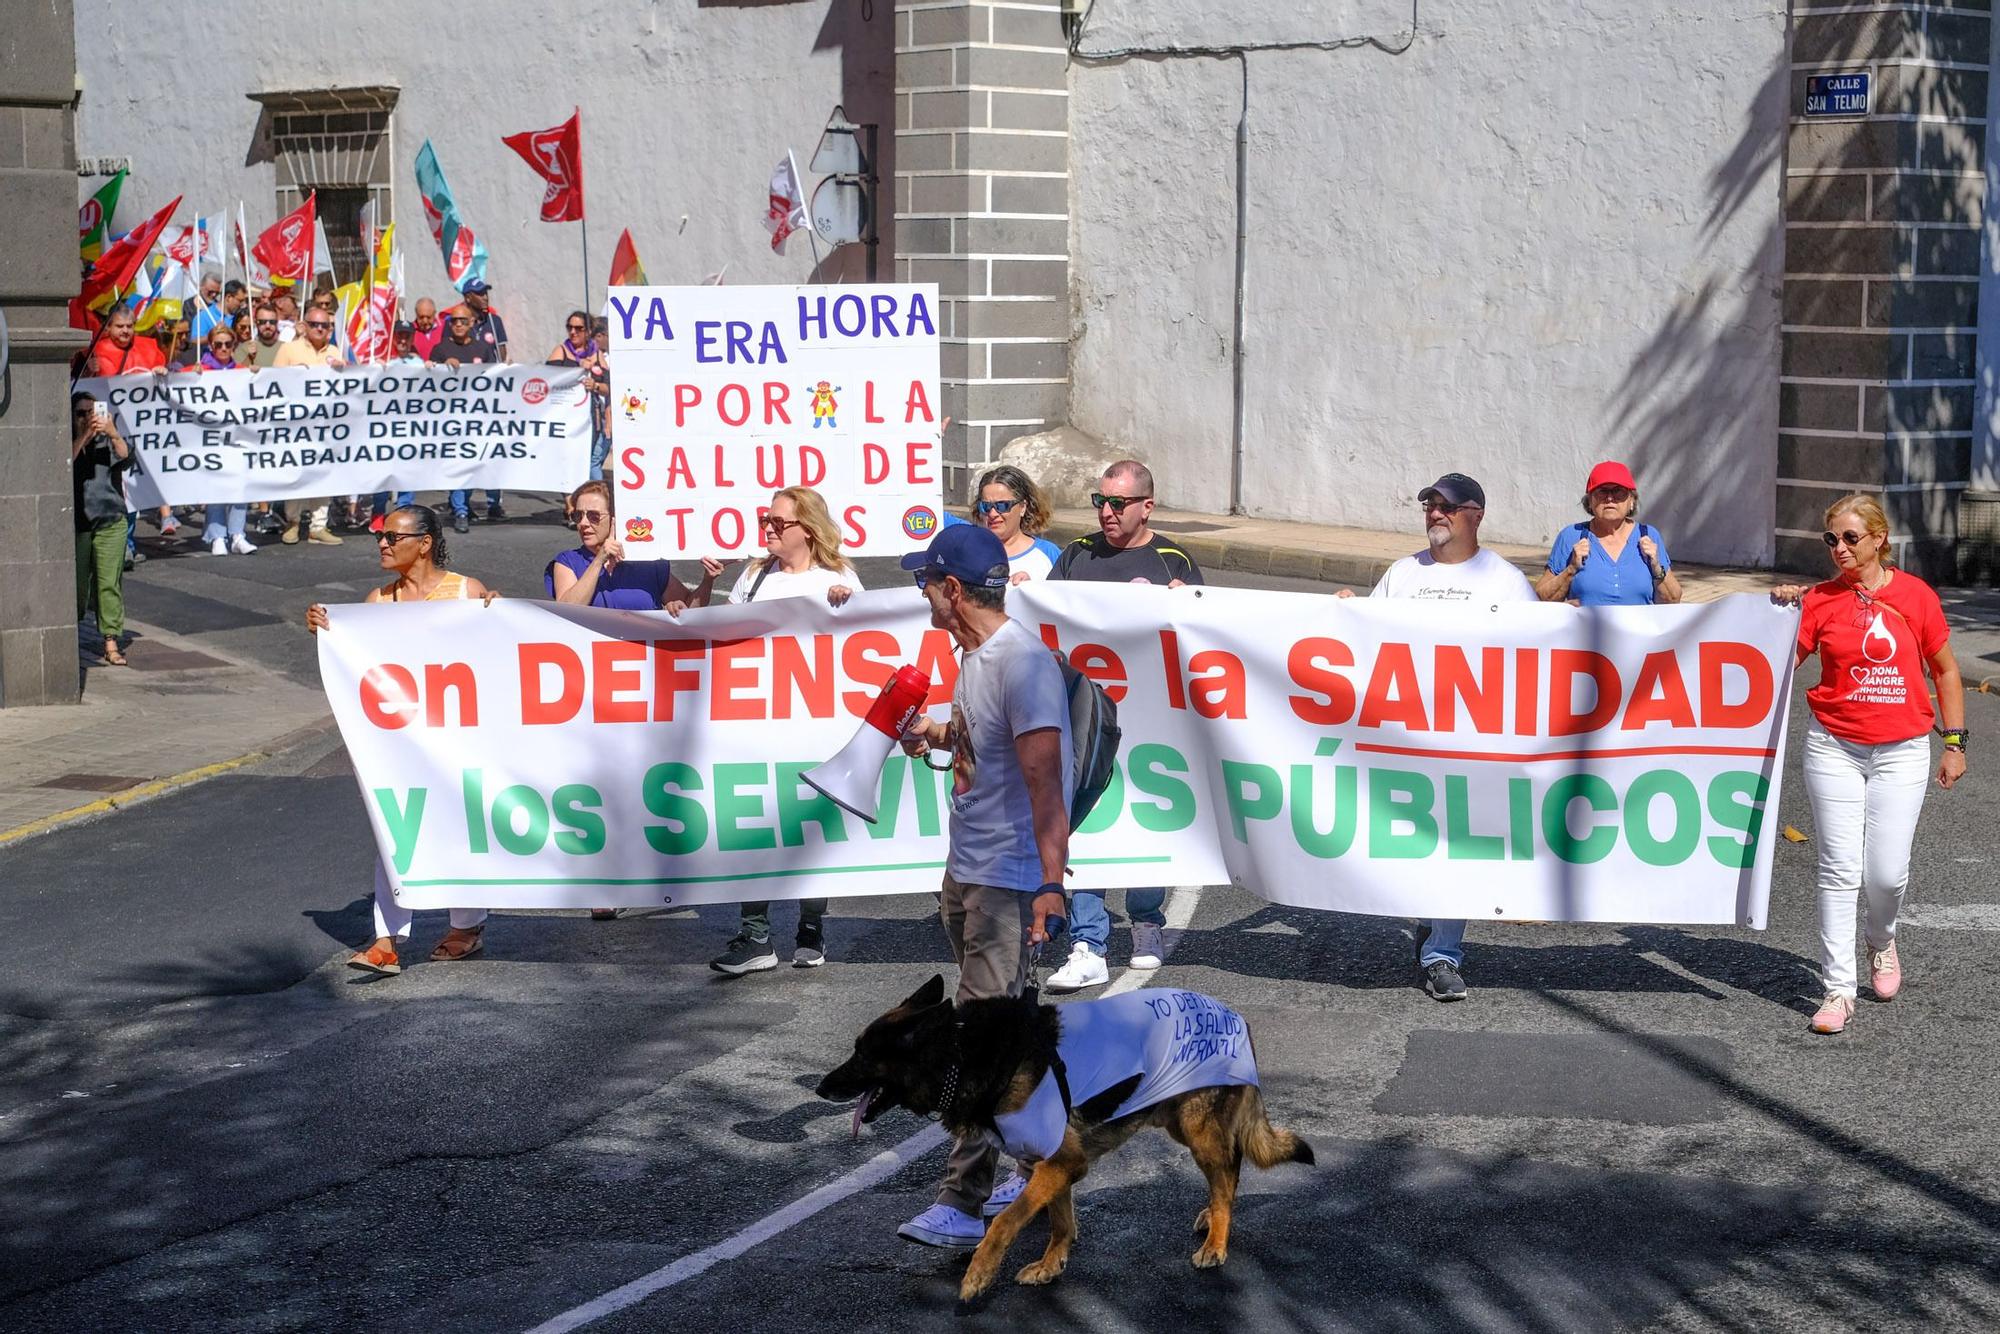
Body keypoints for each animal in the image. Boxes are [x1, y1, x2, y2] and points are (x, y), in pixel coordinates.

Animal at [812, 976, 1312, 1296]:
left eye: (863, 1055)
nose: (819, 1088)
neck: (961, 1054)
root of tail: (1236, 1016)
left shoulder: (1060, 1164)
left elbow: (1007, 1221)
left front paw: (979, 1274)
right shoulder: (1051, 1164)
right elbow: (1060, 1221)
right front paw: (1052, 1265)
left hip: (1197, 1130)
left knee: (1226, 1179)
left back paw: (1216, 1243)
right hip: (1181, 1123)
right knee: (1230, 1172)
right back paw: (1212, 1218)